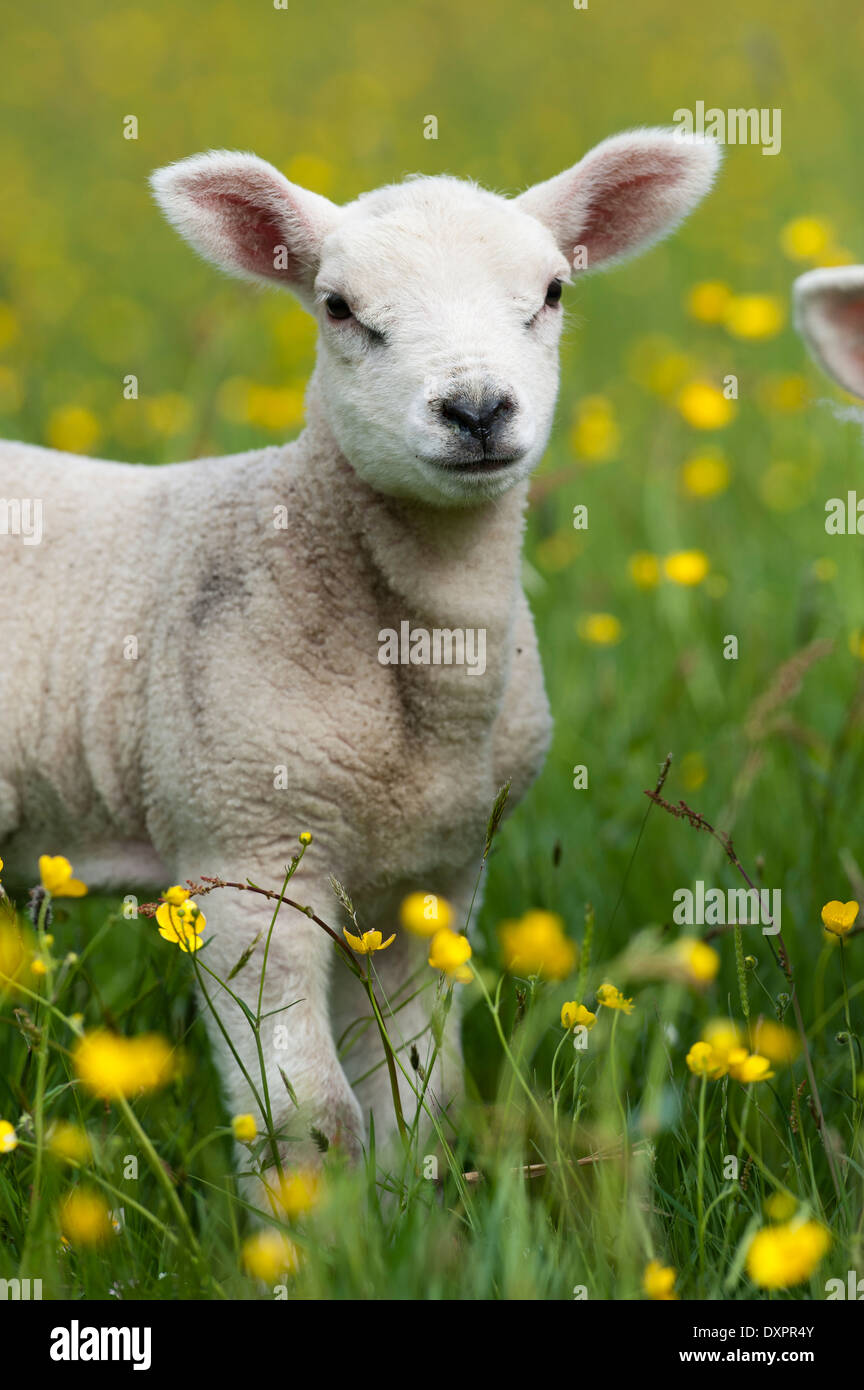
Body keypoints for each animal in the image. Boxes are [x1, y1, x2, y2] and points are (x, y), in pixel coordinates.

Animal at [0, 130, 716, 1173]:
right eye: (338, 306)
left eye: (552, 292)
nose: (476, 409)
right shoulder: (243, 853)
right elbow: (310, 1117)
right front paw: (306, 1217)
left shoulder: (435, 872)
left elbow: (417, 1099)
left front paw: (407, 1202)